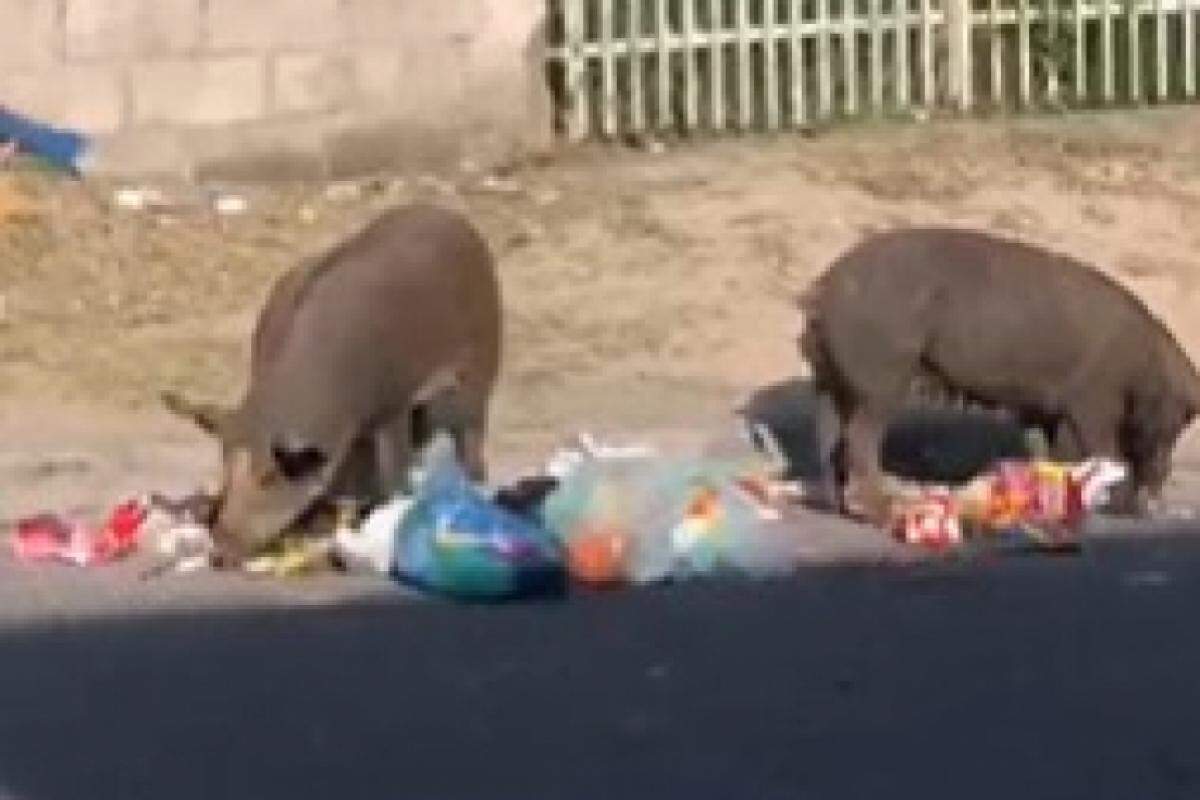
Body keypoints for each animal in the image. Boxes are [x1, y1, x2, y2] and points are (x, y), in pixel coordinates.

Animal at [162, 206, 499, 563]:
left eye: (269, 476)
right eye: (224, 463)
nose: (220, 551)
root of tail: (445, 214)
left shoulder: (393, 403)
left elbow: (395, 469)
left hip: (483, 361)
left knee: (471, 434)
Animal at [796, 227, 1200, 522]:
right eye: (1177, 419)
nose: (1155, 506)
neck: (1145, 366)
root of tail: (822, 287)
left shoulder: (1050, 411)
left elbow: (1055, 452)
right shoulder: (1092, 403)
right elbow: (1104, 449)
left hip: (830, 382)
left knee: (828, 435)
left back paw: (840, 507)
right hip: (882, 380)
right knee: (861, 437)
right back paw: (883, 511)